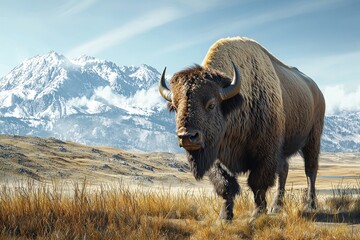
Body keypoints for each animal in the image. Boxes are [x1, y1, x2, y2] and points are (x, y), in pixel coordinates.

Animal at [159, 37, 324, 221]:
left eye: (211, 104)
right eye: (174, 107)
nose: (187, 136)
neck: (235, 102)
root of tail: (317, 90)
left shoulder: (265, 153)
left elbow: (257, 184)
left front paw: (257, 215)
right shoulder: (217, 157)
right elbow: (226, 185)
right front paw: (224, 218)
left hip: (312, 138)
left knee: (310, 170)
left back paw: (310, 205)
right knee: (284, 171)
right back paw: (276, 207)